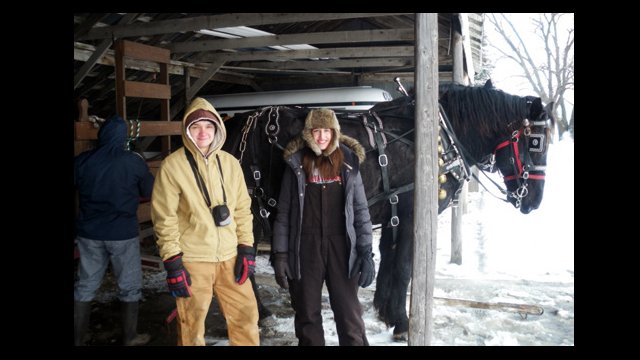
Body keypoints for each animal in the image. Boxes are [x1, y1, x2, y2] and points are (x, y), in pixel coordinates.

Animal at [220, 80, 556, 338]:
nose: (534, 200)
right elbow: (404, 267)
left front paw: (385, 311)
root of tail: (242, 123)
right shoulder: (410, 215)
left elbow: (389, 262)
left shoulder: (392, 211)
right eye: (535, 142)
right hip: (253, 211)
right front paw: (403, 322)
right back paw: (259, 313)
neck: (436, 138)